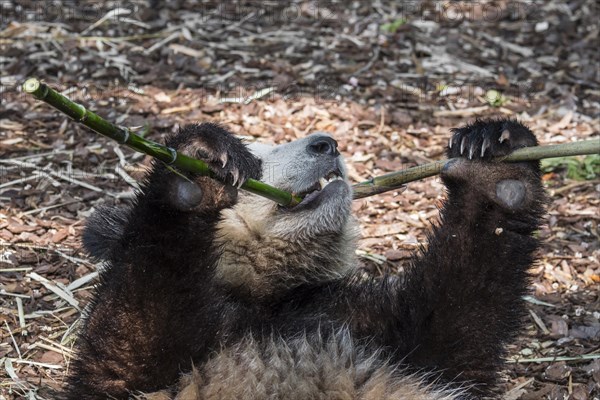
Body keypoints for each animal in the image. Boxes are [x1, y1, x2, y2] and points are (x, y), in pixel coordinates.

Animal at [63, 119, 548, 400]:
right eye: (258, 155)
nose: (326, 144)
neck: (263, 295)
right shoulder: (151, 374)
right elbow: (135, 334)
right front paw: (197, 167)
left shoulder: (370, 331)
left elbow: (459, 324)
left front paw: (494, 165)